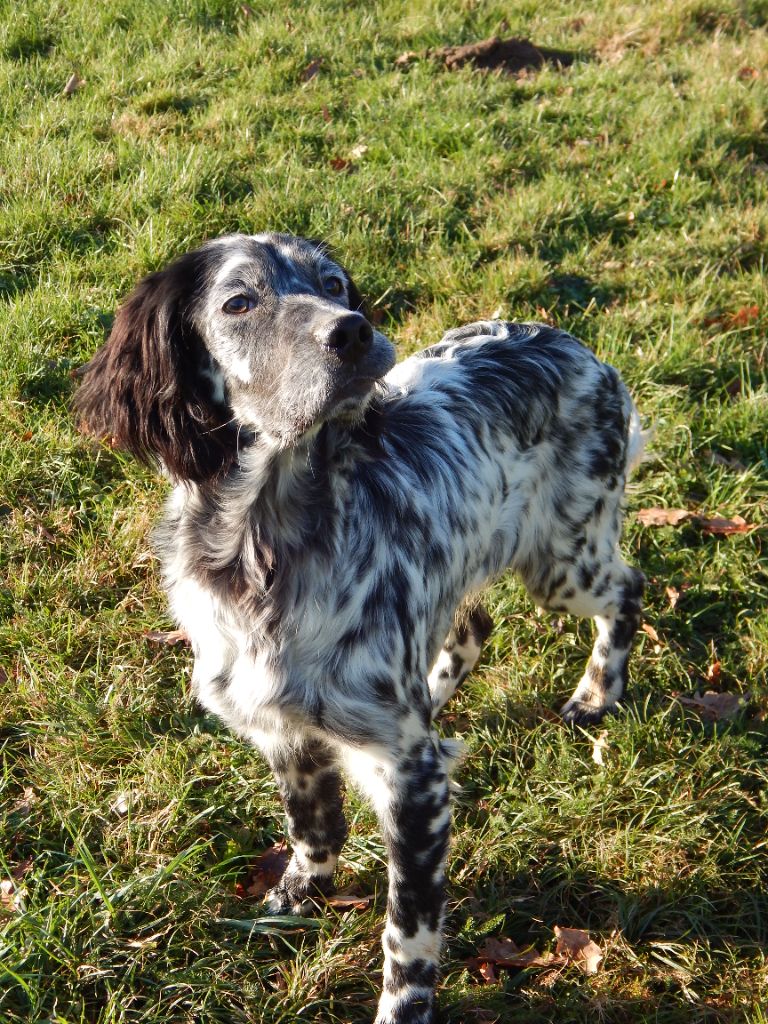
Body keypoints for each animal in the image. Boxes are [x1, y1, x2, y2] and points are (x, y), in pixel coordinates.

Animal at [75, 233, 644, 1024]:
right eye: (239, 302)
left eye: (334, 284)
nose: (351, 330)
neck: (264, 549)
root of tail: (572, 343)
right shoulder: (279, 728)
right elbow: (313, 829)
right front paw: (294, 899)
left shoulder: (414, 782)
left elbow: (408, 934)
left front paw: (400, 1007)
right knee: (474, 622)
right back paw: (439, 689)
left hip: (564, 559)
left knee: (628, 588)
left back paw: (597, 692)